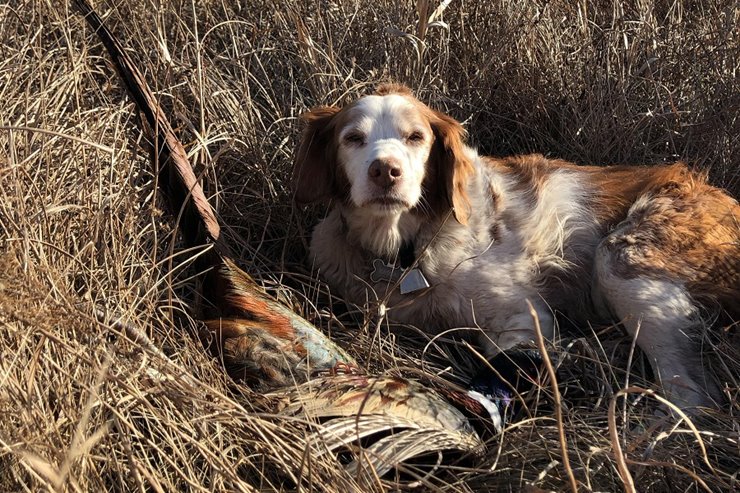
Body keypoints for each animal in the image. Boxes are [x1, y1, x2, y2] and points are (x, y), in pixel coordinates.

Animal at [292, 83, 736, 408]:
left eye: (416, 137)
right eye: (353, 138)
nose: (386, 170)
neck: (405, 252)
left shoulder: (524, 319)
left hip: (622, 258)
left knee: (697, 397)